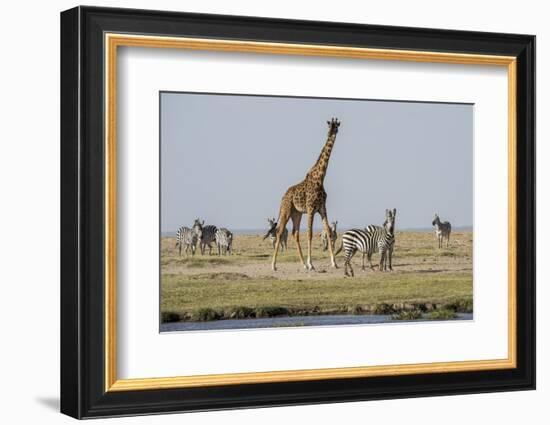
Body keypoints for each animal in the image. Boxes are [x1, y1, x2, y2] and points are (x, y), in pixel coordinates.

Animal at [270, 117, 340, 270]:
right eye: (330, 127)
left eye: (336, 126)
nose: (331, 133)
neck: (320, 178)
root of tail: (282, 197)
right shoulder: (311, 208)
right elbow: (309, 233)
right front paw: (311, 263)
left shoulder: (322, 208)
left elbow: (329, 231)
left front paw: (334, 263)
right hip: (286, 210)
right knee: (279, 231)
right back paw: (274, 265)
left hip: (296, 213)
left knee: (295, 233)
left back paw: (302, 264)